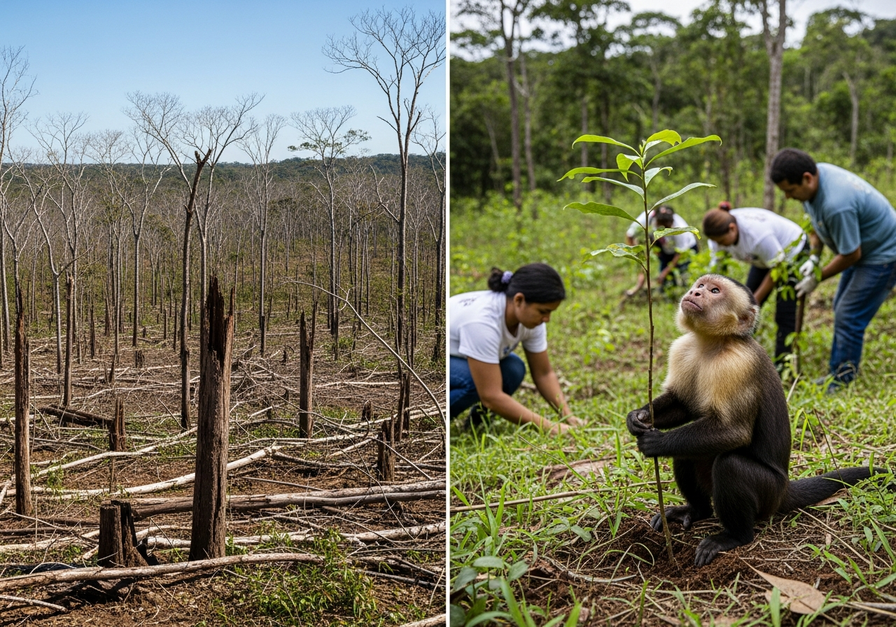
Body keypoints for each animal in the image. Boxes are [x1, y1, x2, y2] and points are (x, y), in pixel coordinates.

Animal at [626, 273, 883, 566]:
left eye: (714, 291)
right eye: (701, 285)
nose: (695, 292)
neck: (714, 343)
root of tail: (783, 490)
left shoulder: (737, 364)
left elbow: (734, 432)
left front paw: (656, 442)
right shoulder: (683, 349)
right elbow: (682, 405)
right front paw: (637, 417)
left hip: (768, 494)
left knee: (730, 466)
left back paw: (735, 536)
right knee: (686, 454)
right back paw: (697, 511)